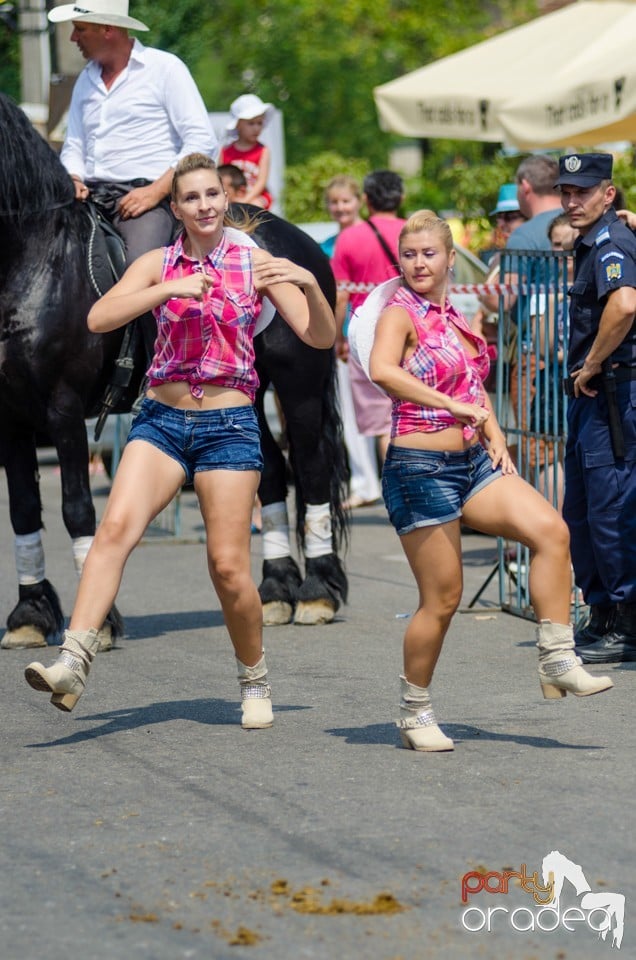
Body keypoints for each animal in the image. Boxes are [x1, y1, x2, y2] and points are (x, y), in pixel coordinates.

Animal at [0, 94, 348, 652]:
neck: (35, 263)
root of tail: (303, 243)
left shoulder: (63, 409)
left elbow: (76, 508)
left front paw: (98, 623)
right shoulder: (11, 417)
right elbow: (24, 511)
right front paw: (29, 615)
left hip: (298, 388)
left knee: (311, 470)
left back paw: (316, 592)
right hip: (246, 398)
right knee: (273, 473)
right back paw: (275, 590)